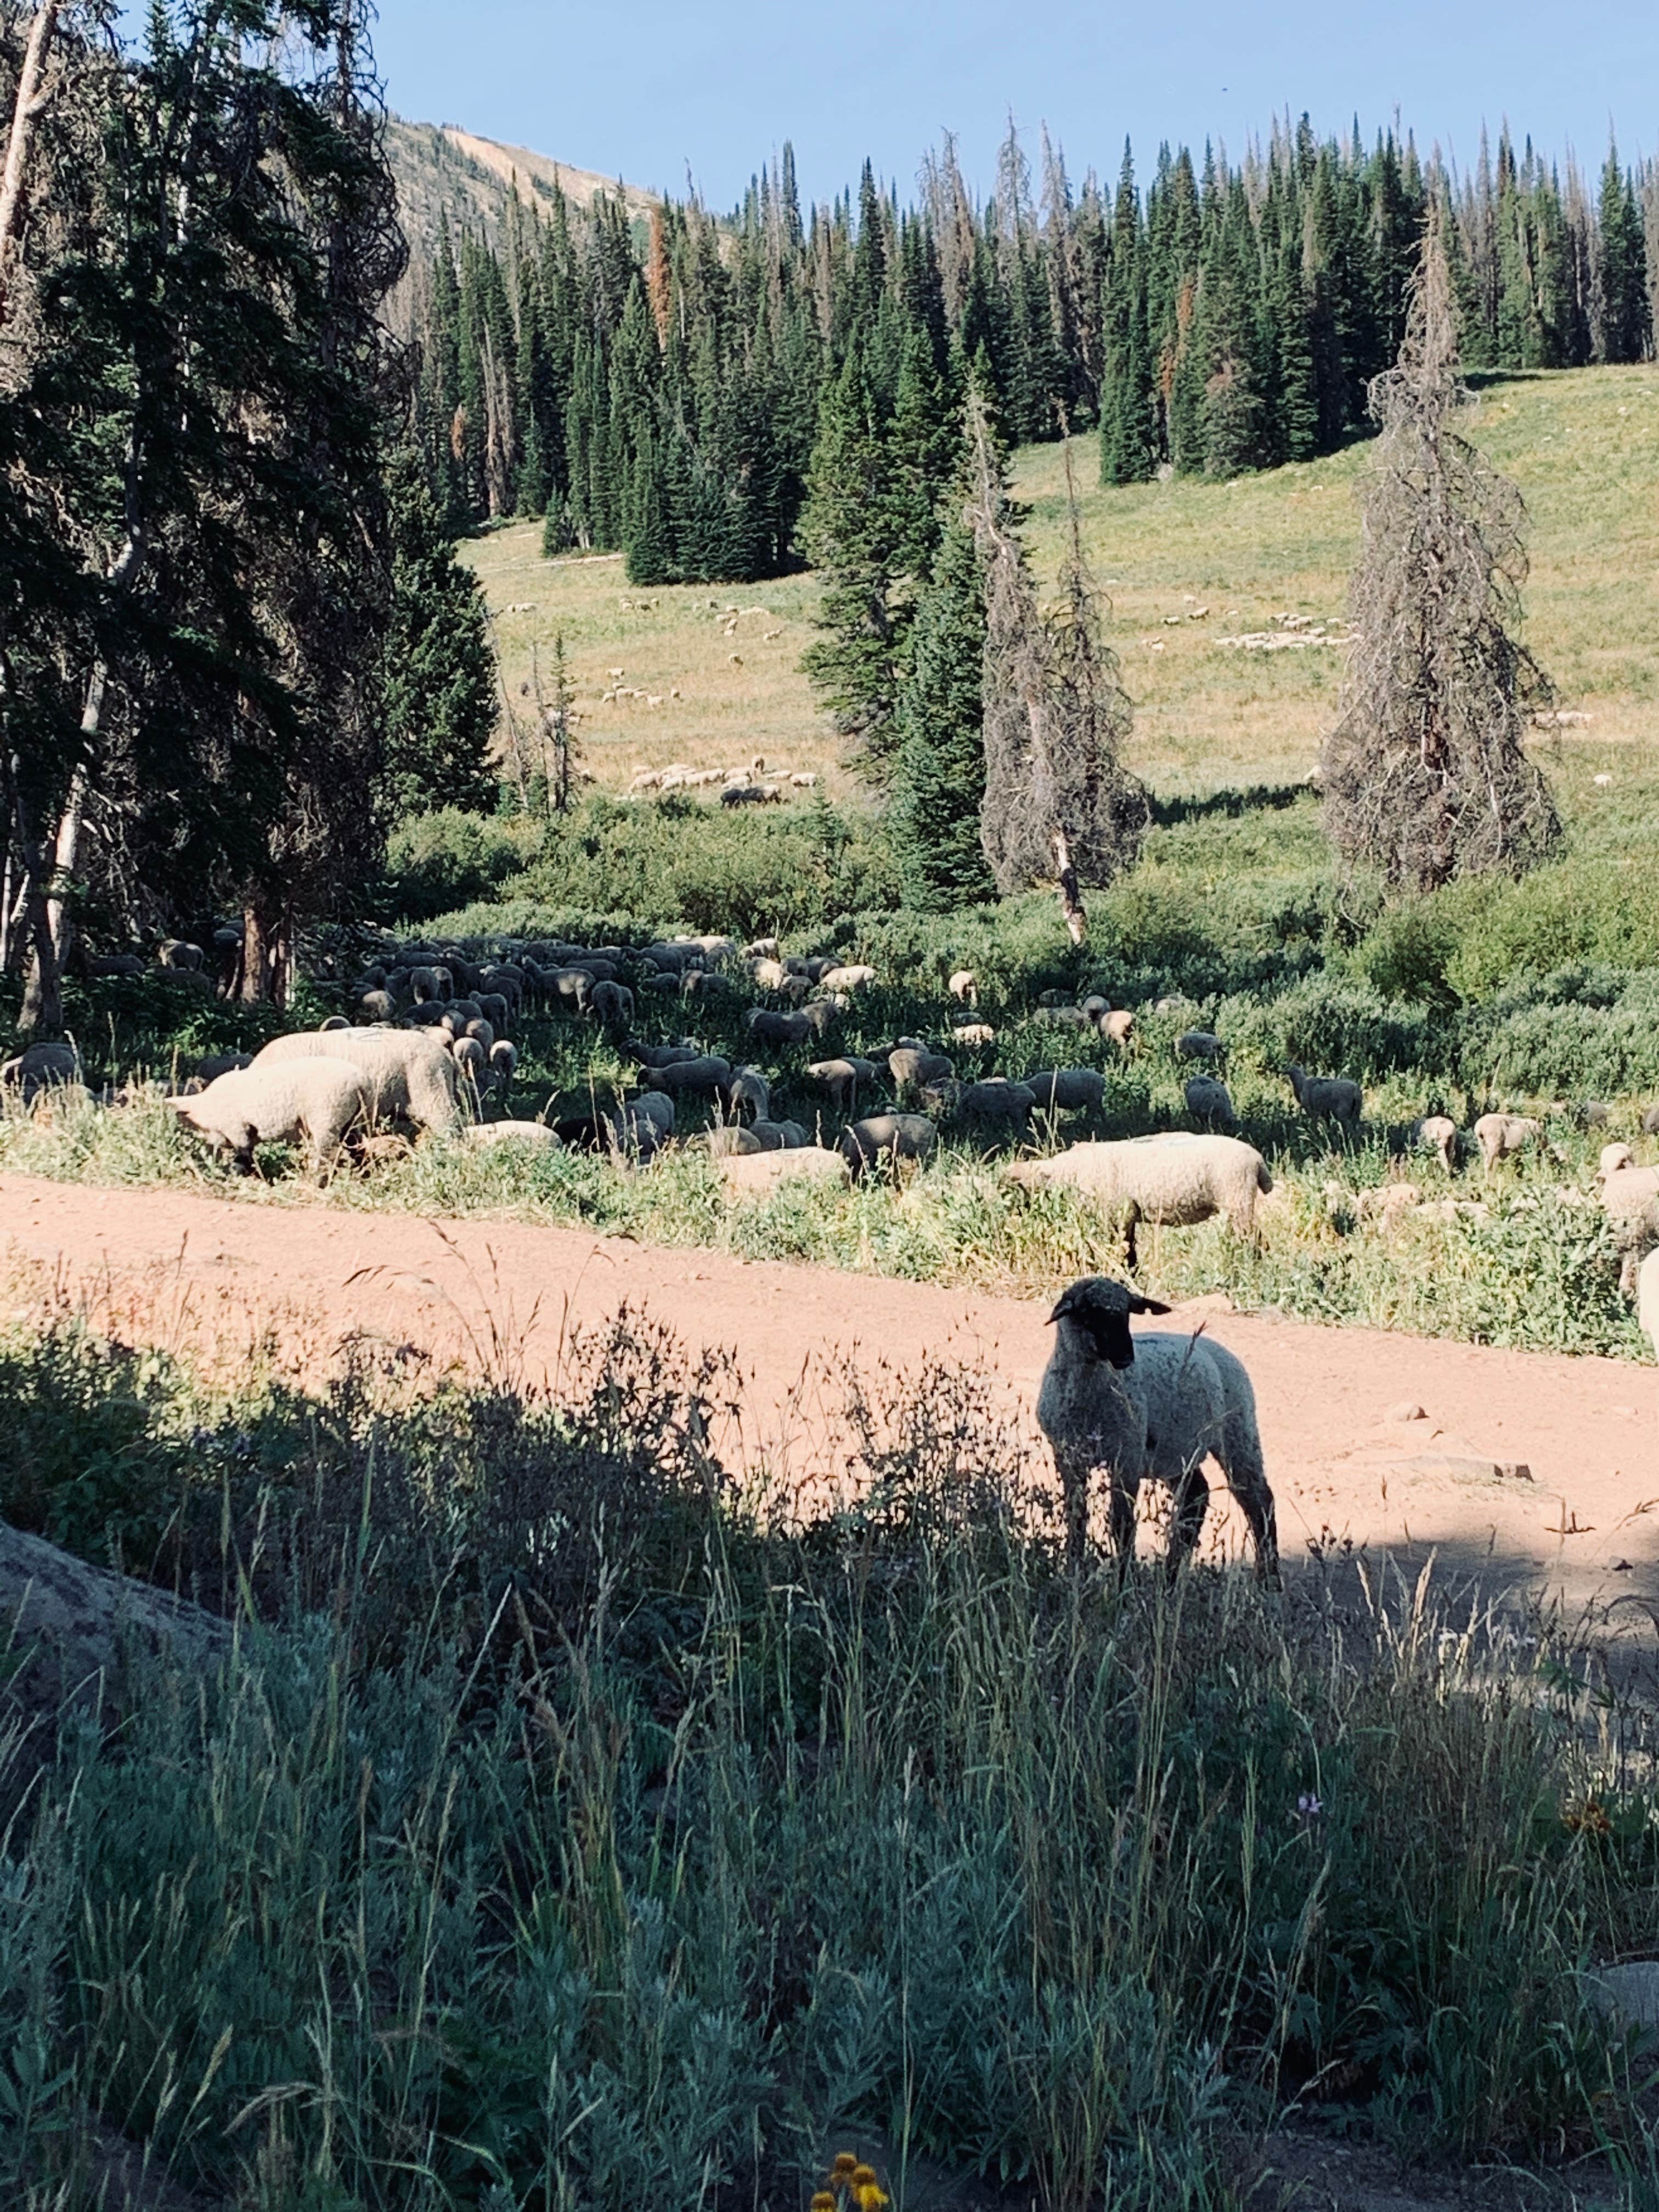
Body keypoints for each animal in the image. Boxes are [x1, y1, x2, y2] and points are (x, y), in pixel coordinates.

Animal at [1008, 1141, 1283, 1265]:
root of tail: (1258, 1160)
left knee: (1252, 1240)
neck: (1066, 1173)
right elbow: (1129, 1249)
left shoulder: (1117, 1214)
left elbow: (1119, 1249)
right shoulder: (1128, 1214)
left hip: (1237, 1197)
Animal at [1040, 1274, 1283, 1583]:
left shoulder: (1128, 1458)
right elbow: (1076, 1518)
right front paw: (1073, 1573)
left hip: (1238, 1432)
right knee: (1196, 1498)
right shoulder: (1067, 1458)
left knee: (1259, 1500)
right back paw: (1170, 1575)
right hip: (1176, 1452)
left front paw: (1122, 1583)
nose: (1125, 1357)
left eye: (1128, 1313)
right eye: (1089, 1313)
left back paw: (1268, 1579)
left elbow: (1121, 1525)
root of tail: (1220, 1350)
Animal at [1283, 1062, 1362, 1124]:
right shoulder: (1326, 1115)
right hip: (1356, 1113)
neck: (1301, 1085)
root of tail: (1356, 1088)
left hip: (1343, 1114)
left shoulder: (1312, 1111)